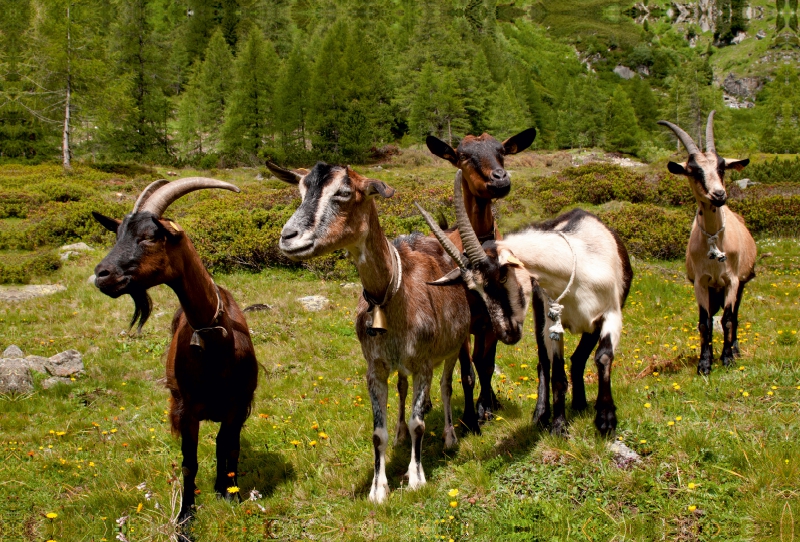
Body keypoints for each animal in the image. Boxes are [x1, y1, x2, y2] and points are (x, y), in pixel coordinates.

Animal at [422, 174, 636, 438]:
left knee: (578, 358)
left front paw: (606, 419)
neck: (578, 267)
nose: (506, 333)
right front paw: (558, 425)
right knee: (545, 363)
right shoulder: (552, 322)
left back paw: (579, 403)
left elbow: (603, 357)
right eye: (473, 290)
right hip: (541, 317)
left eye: (502, 276)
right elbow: (556, 374)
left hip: (588, 326)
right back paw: (542, 414)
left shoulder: (611, 314)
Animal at [660, 112, 760, 376]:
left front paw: (727, 359)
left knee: (735, 316)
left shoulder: (732, 280)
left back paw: (734, 349)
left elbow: (727, 319)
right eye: (694, 171)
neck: (716, 239)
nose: (718, 195)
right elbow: (704, 323)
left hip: (741, 283)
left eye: (722, 166)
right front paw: (705, 363)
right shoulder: (701, 282)